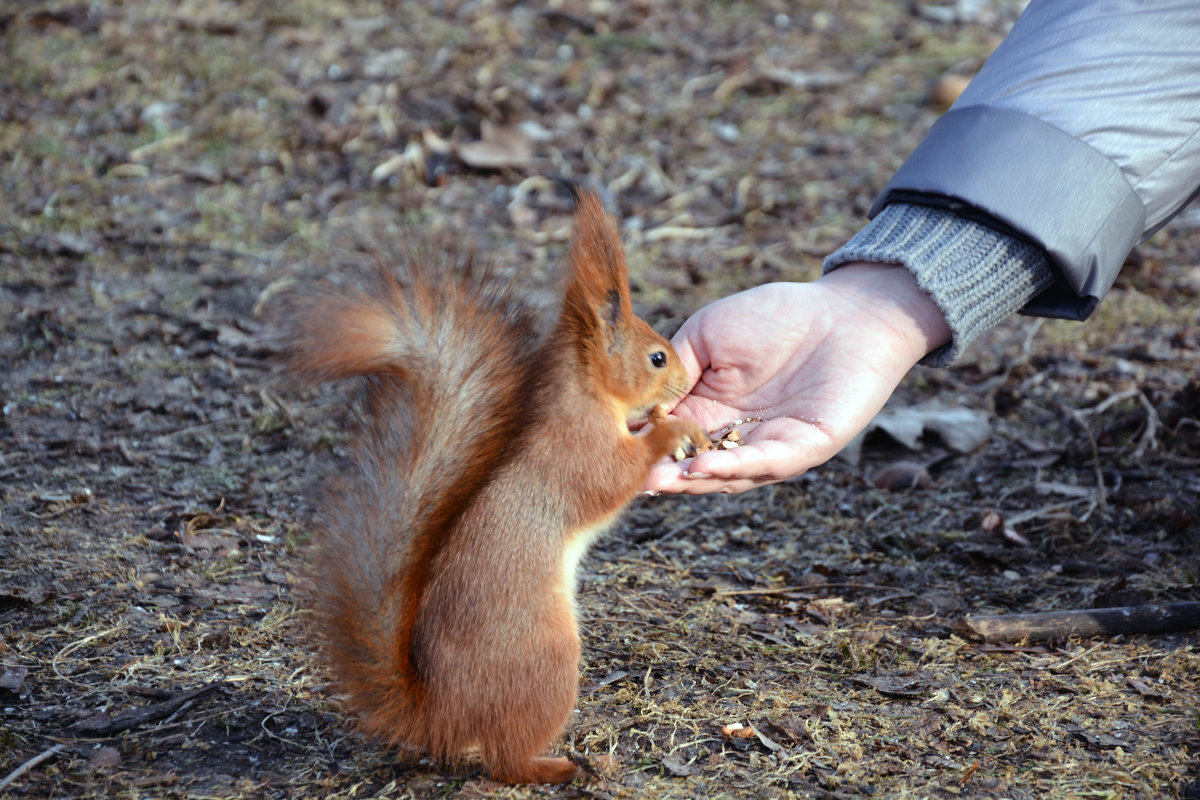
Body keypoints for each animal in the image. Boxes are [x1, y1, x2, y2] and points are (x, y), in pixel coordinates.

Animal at [280, 191, 710, 782]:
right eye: (657, 357)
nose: (687, 381)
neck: (585, 394)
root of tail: (440, 715)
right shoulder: (577, 449)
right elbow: (612, 478)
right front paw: (672, 428)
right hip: (547, 663)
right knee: (506, 759)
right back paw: (563, 766)